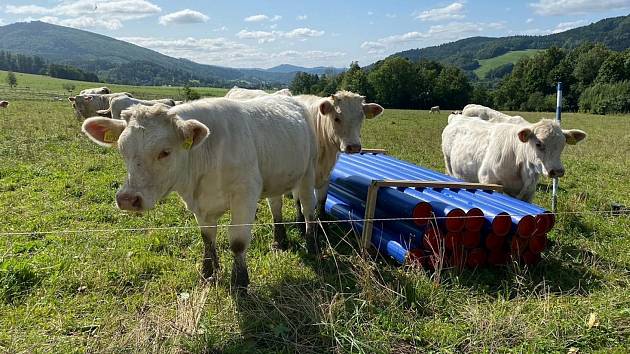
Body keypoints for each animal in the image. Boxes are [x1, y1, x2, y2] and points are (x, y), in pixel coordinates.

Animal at [82, 96, 320, 288]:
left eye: (165, 152)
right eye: (122, 150)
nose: (127, 199)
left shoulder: (245, 195)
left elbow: (238, 241)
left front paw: (240, 282)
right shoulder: (200, 204)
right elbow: (207, 237)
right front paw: (208, 272)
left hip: (308, 172)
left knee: (308, 208)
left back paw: (312, 245)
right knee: (275, 205)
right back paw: (279, 240)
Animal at [444, 115, 588, 201]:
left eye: (563, 144)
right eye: (538, 144)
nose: (557, 171)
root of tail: (457, 116)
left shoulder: (530, 192)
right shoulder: (487, 179)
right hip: (449, 165)